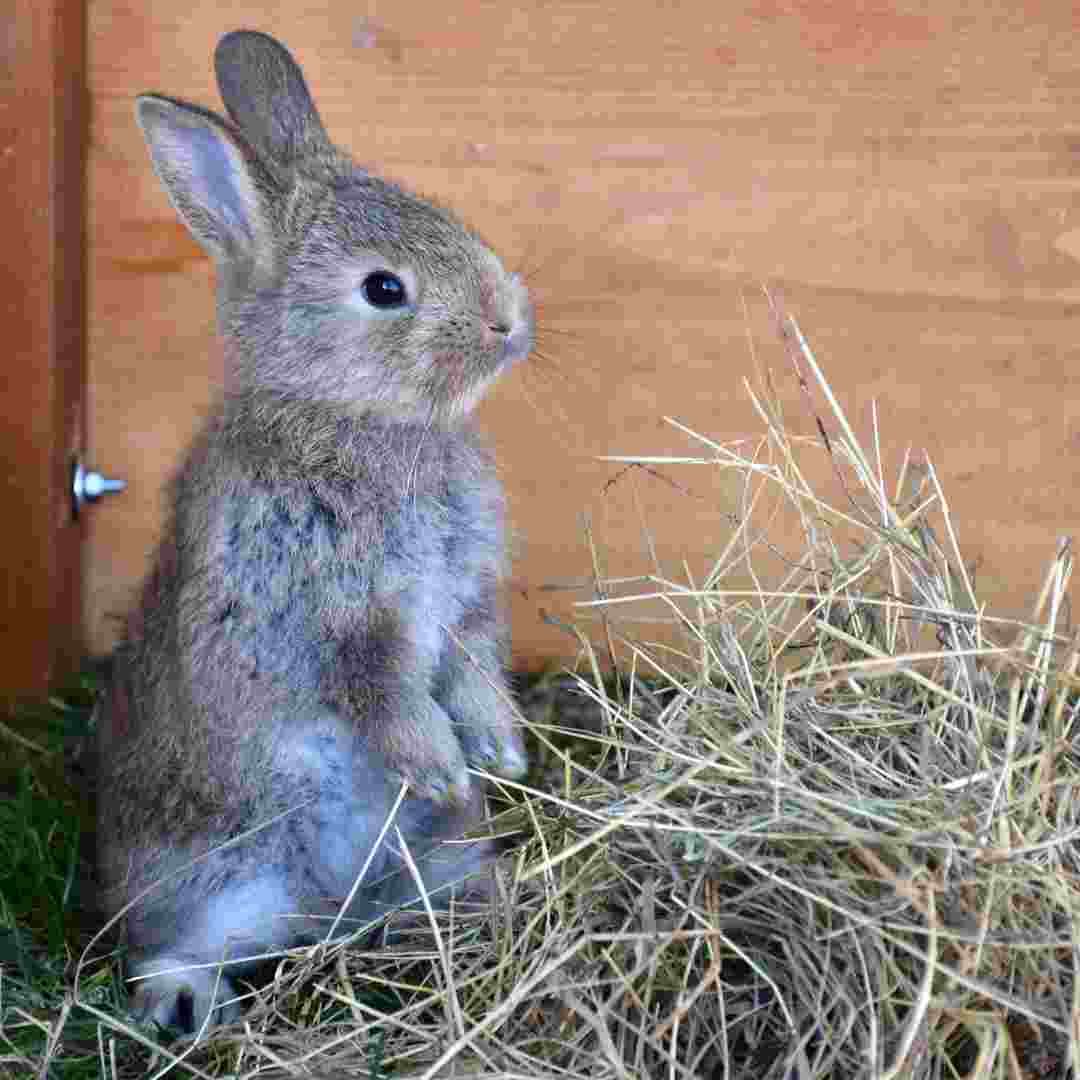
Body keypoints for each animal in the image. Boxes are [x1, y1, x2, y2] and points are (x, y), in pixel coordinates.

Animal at [96, 29, 531, 1032]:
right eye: (384, 289)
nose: (509, 320)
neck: (353, 419)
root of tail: (324, 910)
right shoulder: (331, 613)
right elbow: (383, 693)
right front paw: (445, 766)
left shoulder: (466, 606)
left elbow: (473, 667)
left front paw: (502, 752)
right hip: (215, 869)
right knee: (166, 943)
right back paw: (187, 1002)